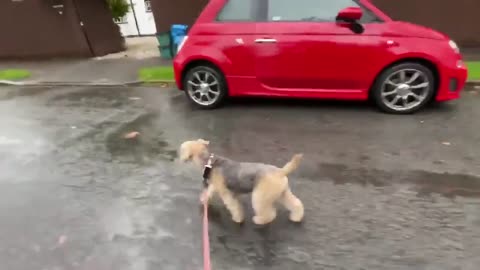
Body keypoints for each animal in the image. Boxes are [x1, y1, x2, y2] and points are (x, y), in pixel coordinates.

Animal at [178, 138, 306, 225]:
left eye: (182, 149)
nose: (180, 157)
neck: (209, 162)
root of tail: (281, 171)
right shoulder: (215, 186)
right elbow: (209, 192)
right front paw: (204, 200)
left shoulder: (225, 192)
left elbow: (233, 206)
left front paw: (238, 219)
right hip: (283, 193)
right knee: (296, 204)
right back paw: (296, 217)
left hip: (259, 197)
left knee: (270, 214)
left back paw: (259, 220)